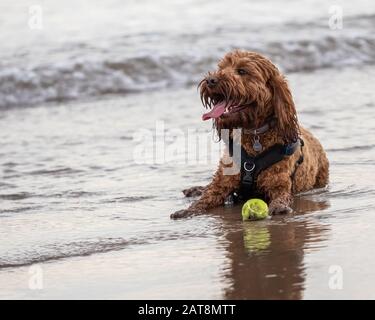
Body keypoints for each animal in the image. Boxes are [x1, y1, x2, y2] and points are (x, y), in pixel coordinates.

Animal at [170, 50, 328, 219]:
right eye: (221, 68)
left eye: (242, 71)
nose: (211, 80)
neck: (254, 135)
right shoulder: (220, 183)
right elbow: (204, 198)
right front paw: (187, 210)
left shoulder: (279, 183)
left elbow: (281, 196)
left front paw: (279, 207)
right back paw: (194, 190)